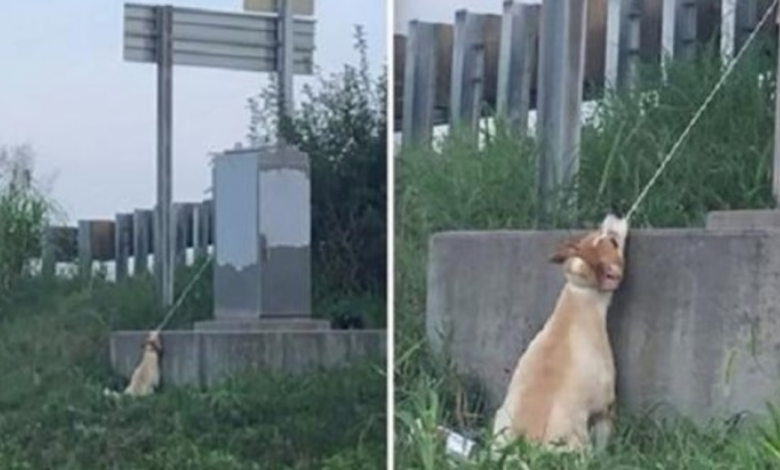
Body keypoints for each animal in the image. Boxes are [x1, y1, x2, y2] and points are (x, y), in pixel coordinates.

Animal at [494, 215, 628, 454]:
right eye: (613, 242)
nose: (612, 216)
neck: (580, 294)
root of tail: (523, 448)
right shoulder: (605, 407)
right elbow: (604, 438)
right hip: (576, 441)